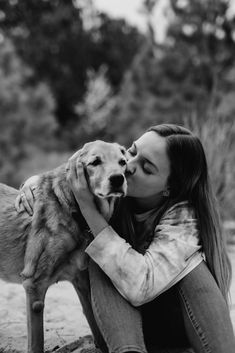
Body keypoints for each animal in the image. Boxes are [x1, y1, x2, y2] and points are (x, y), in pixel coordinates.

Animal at [0, 140, 127, 352]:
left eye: (123, 162)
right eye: (95, 162)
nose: (118, 179)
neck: (74, 212)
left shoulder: (82, 281)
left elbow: (98, 330)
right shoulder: (34, 286)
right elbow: (36, 343)